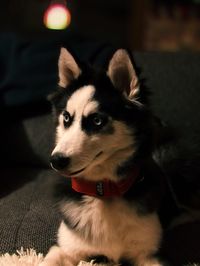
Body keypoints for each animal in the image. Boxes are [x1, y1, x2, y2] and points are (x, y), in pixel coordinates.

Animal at [40, 48, 172, 266]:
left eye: (97, 121)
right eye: (66, 117)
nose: (56, 160)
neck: (103, 193)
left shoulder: (150, 254)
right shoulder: (65, 248)